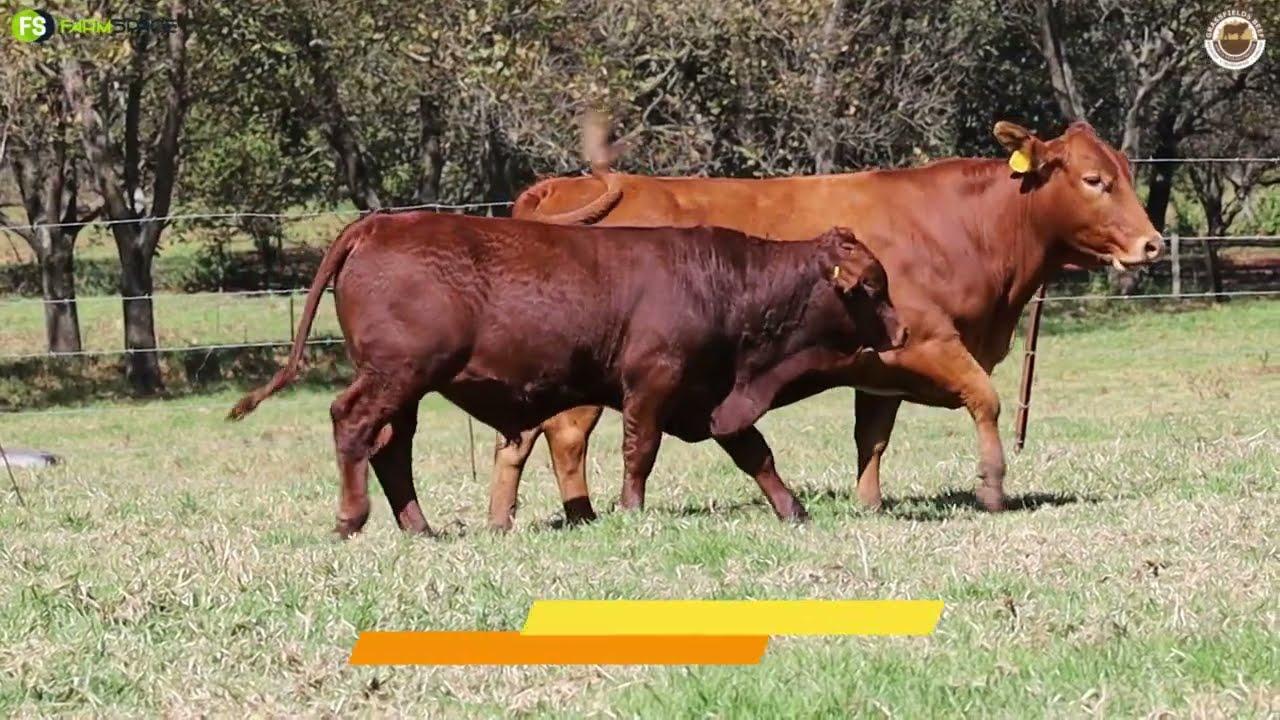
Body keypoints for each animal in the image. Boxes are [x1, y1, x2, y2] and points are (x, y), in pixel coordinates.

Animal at [227, 211, 904, 536]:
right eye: (873, 287)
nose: (901, 333)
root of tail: (381, 222)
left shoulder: (711, 397)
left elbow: (755, 452)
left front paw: (793, 510)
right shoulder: (652, 384)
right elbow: (640, 451)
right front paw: (630, 510)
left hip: (407, 388)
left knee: (392, 448)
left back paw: (420, 528)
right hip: (396, 375)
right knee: (353, 424)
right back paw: (352, 518)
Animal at [490, 118, 1163, 530]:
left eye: (1128, 173)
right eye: (1095, 180)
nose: (1153, 244)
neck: (966, 228)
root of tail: (557, 189)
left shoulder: (881, 368)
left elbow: (873, 438)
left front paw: (869, 505)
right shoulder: (932, 343)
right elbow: (987, 400)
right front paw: (993, 490)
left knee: (519, 439)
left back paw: (506, 521)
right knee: (564, 438)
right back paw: (581, 515)